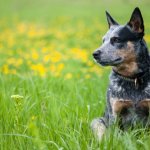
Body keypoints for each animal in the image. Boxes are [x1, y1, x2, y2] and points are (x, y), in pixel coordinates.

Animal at [91, 7, 150, 140]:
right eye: (103, 40)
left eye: (116, 39)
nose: (95, 54)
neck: (132, 78)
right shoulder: (116, 114)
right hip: (97, 121)